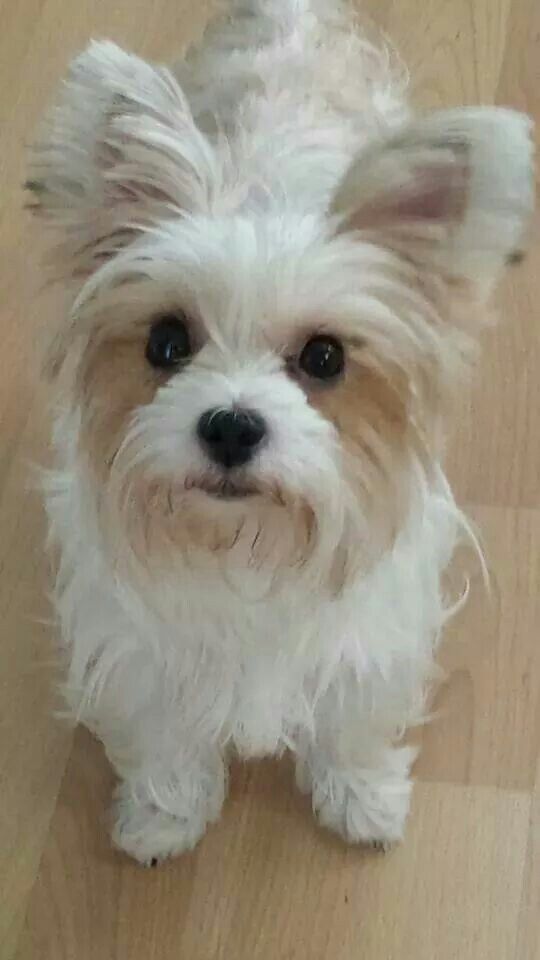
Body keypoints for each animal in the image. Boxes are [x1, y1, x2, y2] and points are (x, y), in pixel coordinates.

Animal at [30, 0, 536, 868]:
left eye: (325, 357)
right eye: (166, 342)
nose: (232, 426)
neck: (249, 545)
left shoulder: (375, 623)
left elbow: (355, 716)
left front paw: (361, 796)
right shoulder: (139, 637)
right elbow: (164, 727)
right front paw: (164, 814)